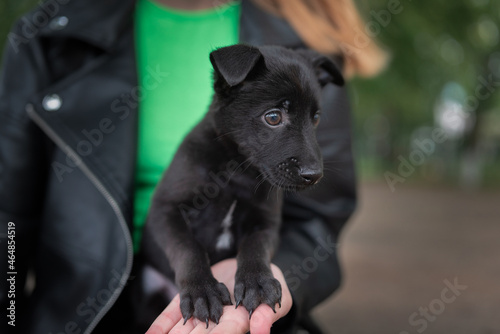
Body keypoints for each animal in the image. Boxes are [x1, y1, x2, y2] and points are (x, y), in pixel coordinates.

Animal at [141, 43, 344, 326]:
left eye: (315, 118)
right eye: (273, 117)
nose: (314, 175)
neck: (236, 170)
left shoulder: (266, 222)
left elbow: (254, 246)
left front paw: (256, 283)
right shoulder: (164, 210)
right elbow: (187, 247)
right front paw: (202, 291)